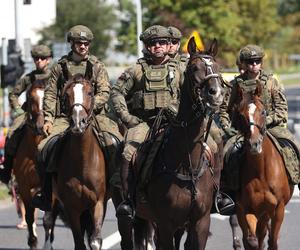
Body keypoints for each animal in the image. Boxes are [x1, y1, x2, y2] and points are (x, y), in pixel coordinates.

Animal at [52, 74, 106, 250]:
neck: (82, 162)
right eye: (66, 95)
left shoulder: (98, 203)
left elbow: (95, 240)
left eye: (90, 93)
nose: (78, 122)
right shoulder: (71, 208)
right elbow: (79, 242)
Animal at [134, 37, 225, 250]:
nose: (216, 94)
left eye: (218, 67)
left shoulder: (200, 223)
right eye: (194, 68)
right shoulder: (165, 224)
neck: (186, 165)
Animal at [232, 82, 292, 250]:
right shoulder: (243, 208)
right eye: (240, 114)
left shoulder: (278, 209)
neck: (261, 172)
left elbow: (272, 241)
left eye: (263, 112)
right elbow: (250, 239)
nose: (254, 144)